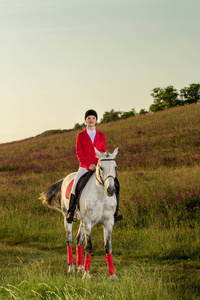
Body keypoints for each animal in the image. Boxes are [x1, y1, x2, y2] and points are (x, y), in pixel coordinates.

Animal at [40, 146, 119, 280]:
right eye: (101, 168)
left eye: (115, 167)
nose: (111, 190)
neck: (101, 196)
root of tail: (66, 178)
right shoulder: (88, 223)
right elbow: (89, 246)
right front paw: (87, 276)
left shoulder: (108, 222)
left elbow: (108, 247)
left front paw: (112, 275)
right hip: (68, 217)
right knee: (70, 239)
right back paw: (71, 268)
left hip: (82, 221)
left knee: (79, 239)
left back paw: (81, 267)